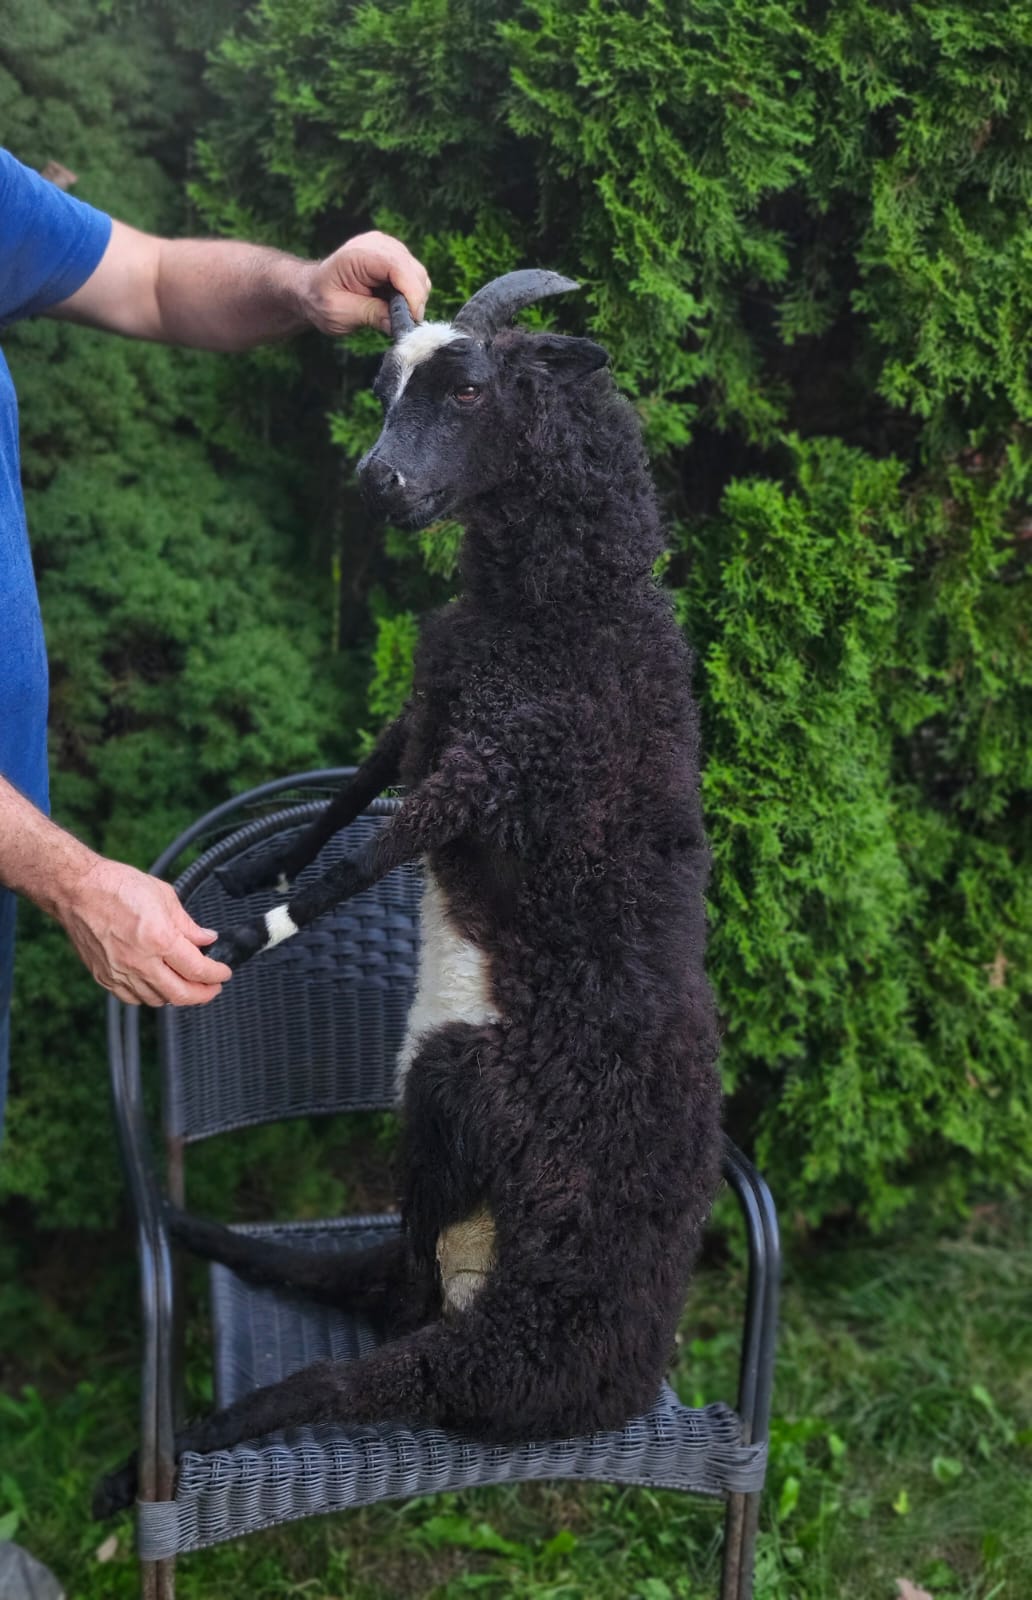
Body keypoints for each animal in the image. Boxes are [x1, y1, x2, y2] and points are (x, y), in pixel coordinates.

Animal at [95, 270, 724, 1514]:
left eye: (471, 389)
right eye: (387, 385)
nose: (377, 483)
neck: (568, 615)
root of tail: (608, 1388)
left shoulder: (493, 766)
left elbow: (360, 862)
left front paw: (237, 938)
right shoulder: (433, 718)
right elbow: (349, 793)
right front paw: (252, 872)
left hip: (454, 1114)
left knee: (370, 1346)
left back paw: (171, 1450)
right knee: (382, 1283)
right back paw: (196, 1233)